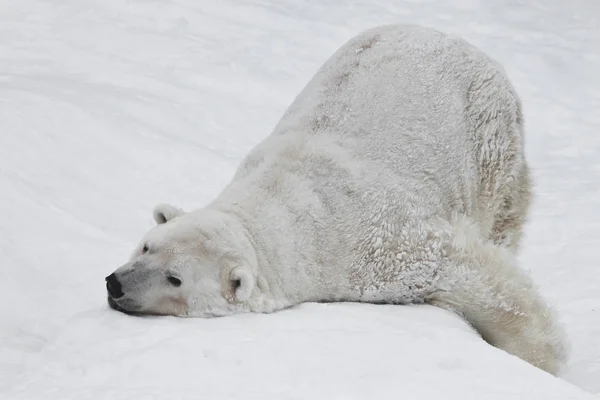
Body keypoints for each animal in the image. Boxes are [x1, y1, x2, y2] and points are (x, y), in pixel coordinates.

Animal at [106, 24, 568, 376]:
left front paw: (543, 360)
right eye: (146, 245)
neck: (282, 202)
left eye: (175, 279)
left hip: (488, 135)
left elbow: (474, 274)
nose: (116, 284)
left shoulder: (378, 245)